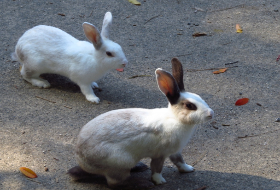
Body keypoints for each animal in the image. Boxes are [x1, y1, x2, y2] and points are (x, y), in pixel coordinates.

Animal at [68, 57, 214, 187]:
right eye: (190, 106)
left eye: (199, 97)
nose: (211, 113)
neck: (176, 119)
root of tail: (83, 162)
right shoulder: (160, 154)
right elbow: (156, 168)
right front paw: (159, 181)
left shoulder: (175, 152)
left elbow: (179, 161)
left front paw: (189, 169)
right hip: (120, 163)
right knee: (114, 183)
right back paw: (141, 182)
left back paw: (139, 167)